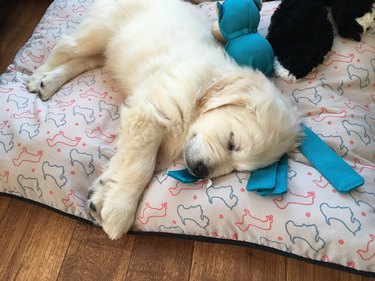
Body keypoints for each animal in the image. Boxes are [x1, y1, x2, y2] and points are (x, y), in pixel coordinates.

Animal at [26, 0, 302, 238]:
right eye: (232, 142)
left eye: (239, 170)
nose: (201, 172)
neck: (204, 89)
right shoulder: (148, 114)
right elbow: (141, 165)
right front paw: (120, 211)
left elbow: (125, 161)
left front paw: (103, 192)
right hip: (99, 30)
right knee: (65, 46)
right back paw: (39, 75)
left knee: (87, 60)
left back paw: (48, 82)